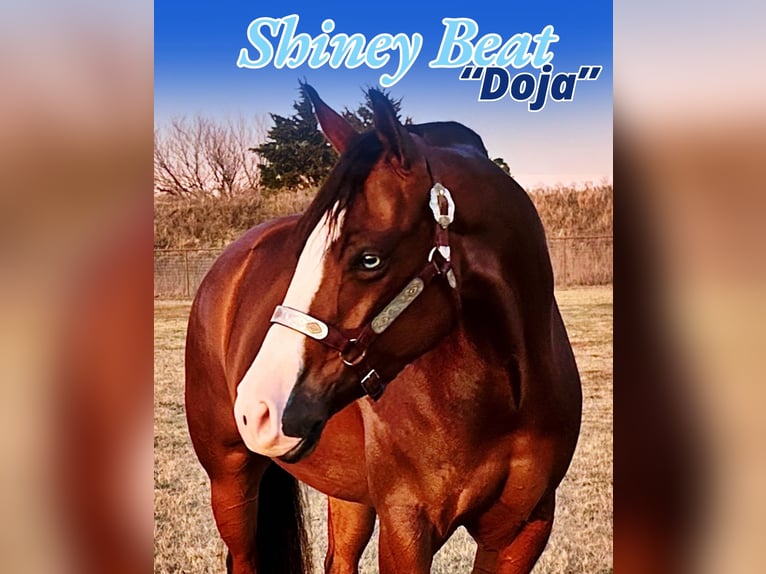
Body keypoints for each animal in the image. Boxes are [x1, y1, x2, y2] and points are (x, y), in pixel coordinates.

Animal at [185, 84, 582, 574]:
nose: (257, 408)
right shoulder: (405, 524)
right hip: (230, 477)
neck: (504, 397)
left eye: (369, 259)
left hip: (348, 492)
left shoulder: (523, 530)